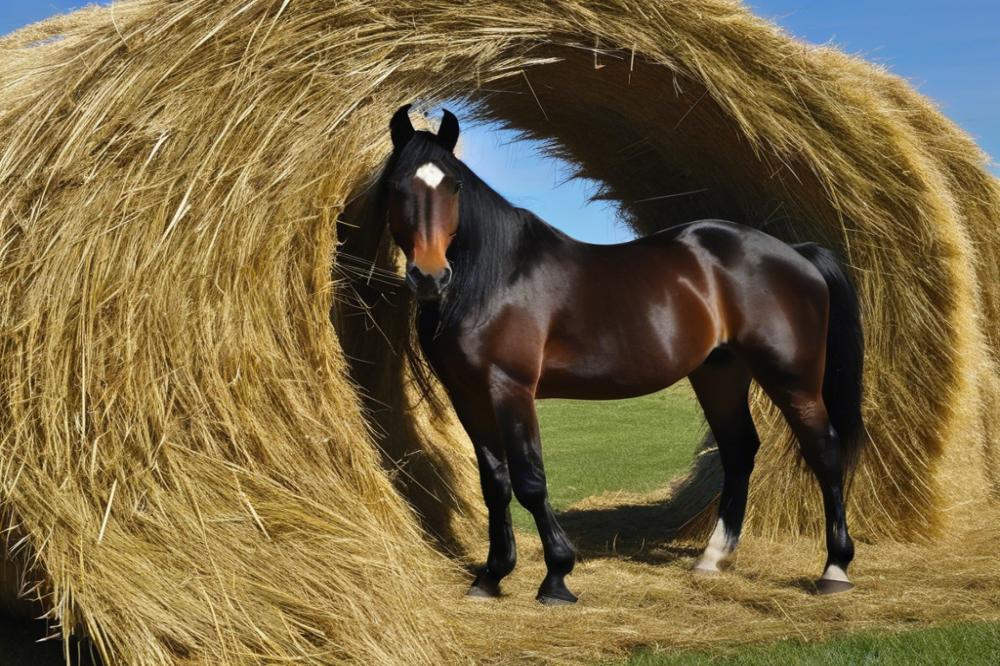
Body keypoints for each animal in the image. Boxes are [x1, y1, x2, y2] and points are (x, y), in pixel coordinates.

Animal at [378, 102, 864, 600]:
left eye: (454, 185)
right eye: (396, 185)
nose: (430, 275)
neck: (497, 279)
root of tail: (796, 252)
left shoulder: (510, 389)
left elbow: (530, 481)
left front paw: (557, 576)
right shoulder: (468, 396)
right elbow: (494, 483)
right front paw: (491, 576)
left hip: (792, 378)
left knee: (825, 451)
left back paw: (834, 568)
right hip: (720, 373)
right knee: (739, 450)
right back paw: (712, 558)